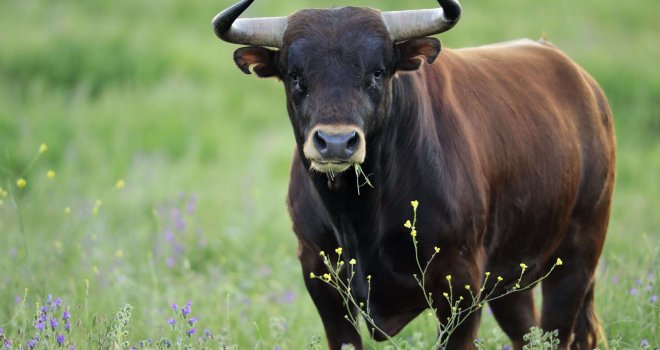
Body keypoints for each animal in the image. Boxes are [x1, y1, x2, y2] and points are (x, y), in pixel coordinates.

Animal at [210, 1, 612, 348]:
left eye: (376, 72)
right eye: (295, 76)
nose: (336, 142)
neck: (359, 216)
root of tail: (585, 86)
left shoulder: (461, 288)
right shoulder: (320, 280)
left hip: (576, 260)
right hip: (513, 280)